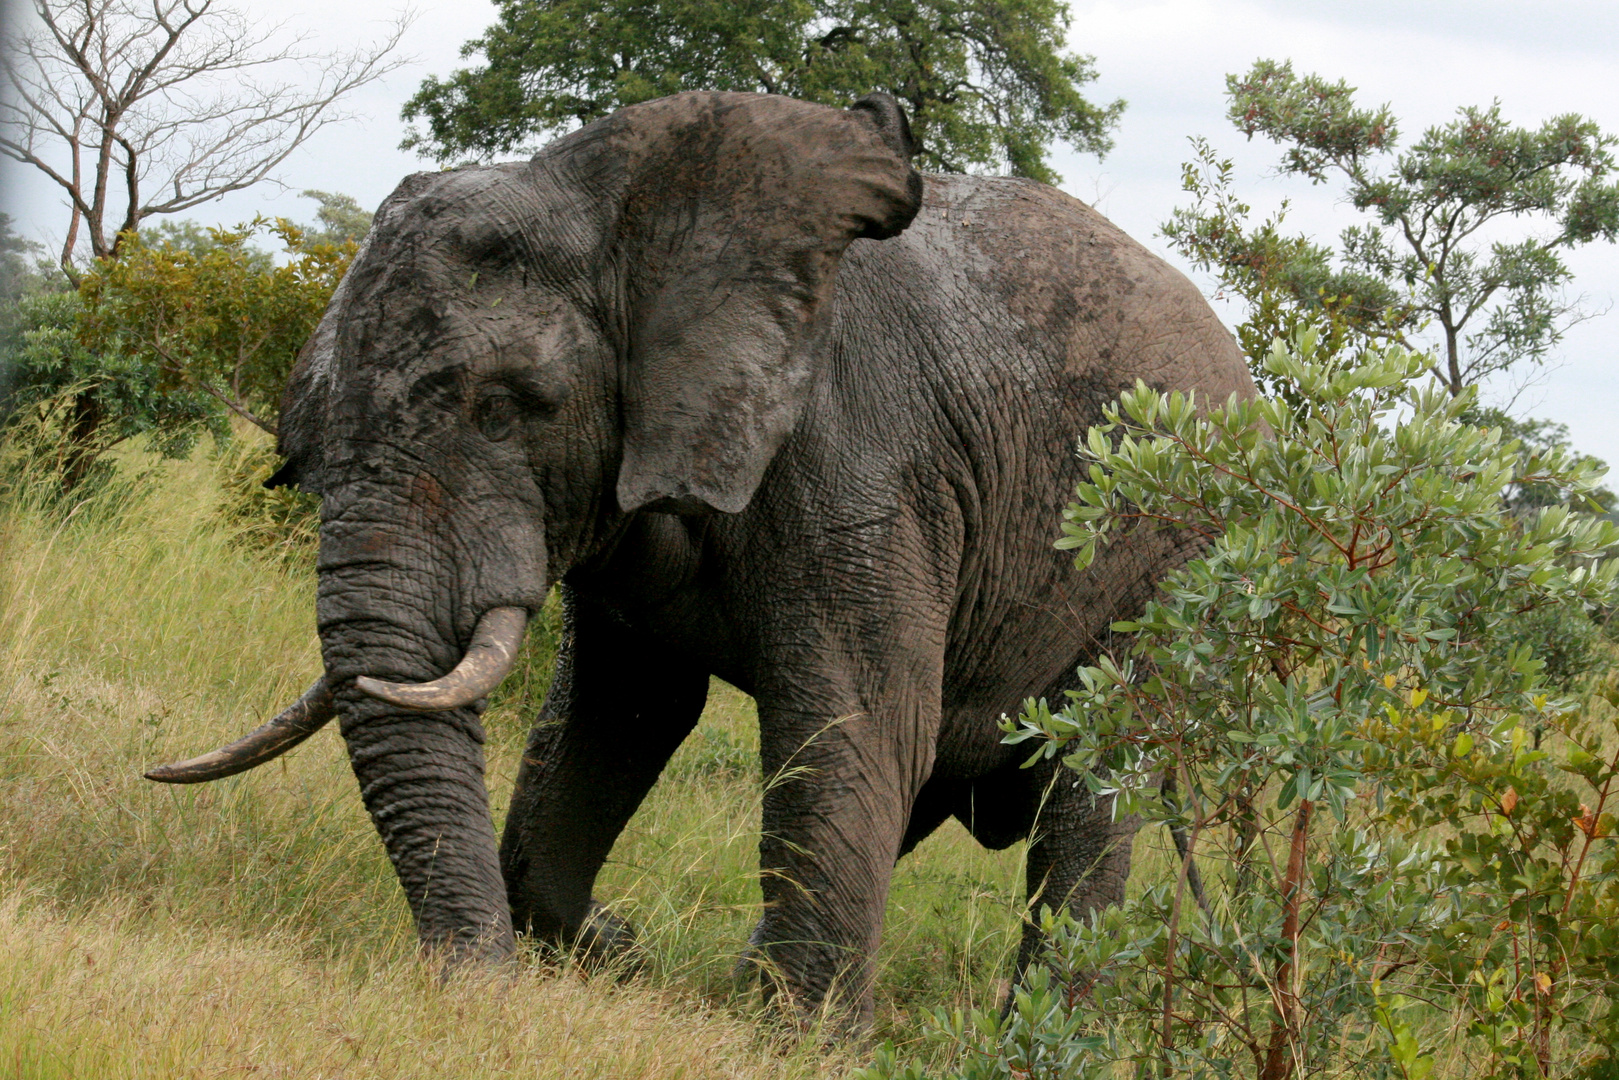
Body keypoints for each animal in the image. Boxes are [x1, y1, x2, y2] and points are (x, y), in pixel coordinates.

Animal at [148, 88, 1249, 1029]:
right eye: (302, 447)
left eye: (507, 408)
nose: (469, 988)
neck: (615, 203)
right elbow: (623, 716)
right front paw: (614, 952)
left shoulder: (863, 462)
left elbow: (854, 722)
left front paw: (800, 1042)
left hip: (1174, 565)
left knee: (1090, 789)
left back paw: (1030, 1036)